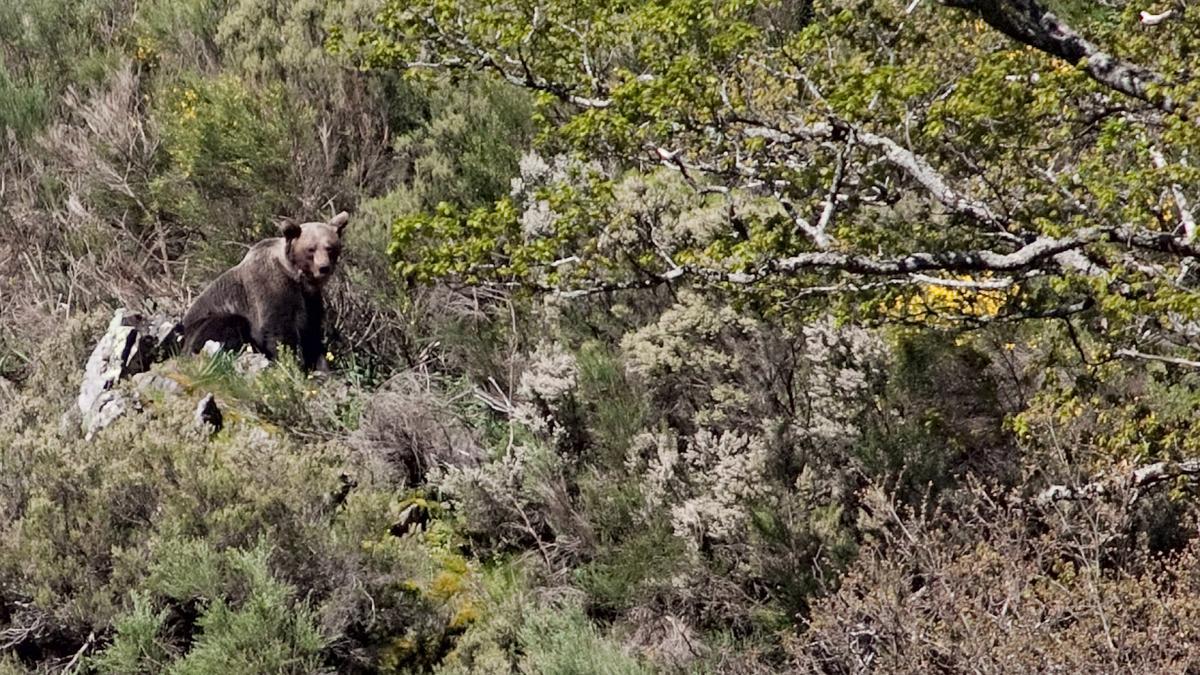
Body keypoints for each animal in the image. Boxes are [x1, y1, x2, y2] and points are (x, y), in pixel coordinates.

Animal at [180, 211, 350, 369]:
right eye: (311, 249)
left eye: (329, 248)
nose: (324, 267)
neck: (296, 276)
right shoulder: (271, 287)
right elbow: (278, 329)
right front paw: (291, 362)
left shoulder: (310, 299)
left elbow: (312, 332)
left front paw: (321, 367)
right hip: (203, 324)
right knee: (227, 323)